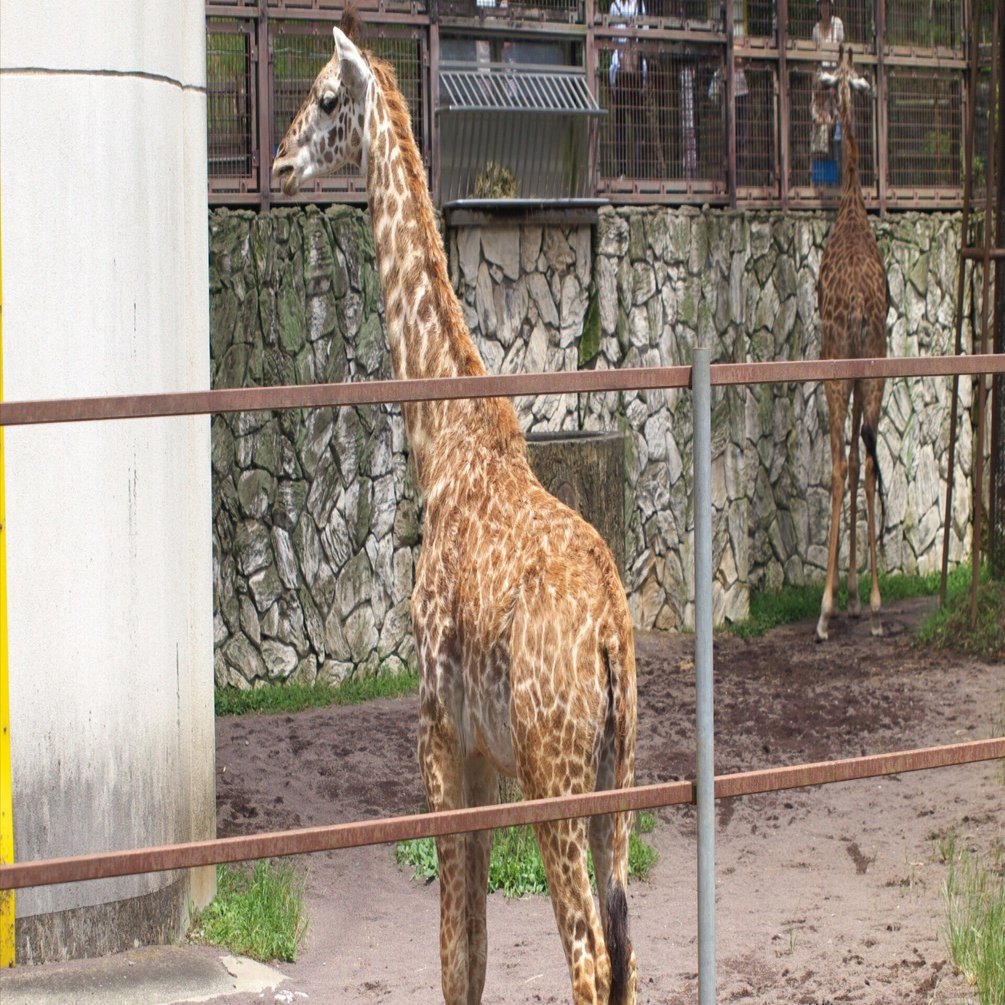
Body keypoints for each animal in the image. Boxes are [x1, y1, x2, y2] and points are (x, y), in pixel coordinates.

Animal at [273, 19, 638, 1005]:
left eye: (326, 97)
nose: (279, 162)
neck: (443, 449)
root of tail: (610, 637)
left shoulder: (438, 734)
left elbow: (454, 949)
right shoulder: (481, 754)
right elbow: (470, 945)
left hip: (556, 772)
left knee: (588, 954)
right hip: (617, 777)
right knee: (626, 946)